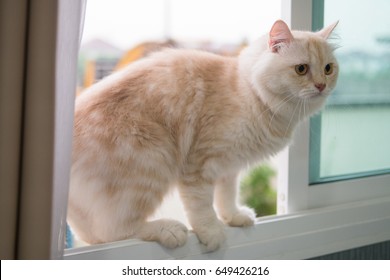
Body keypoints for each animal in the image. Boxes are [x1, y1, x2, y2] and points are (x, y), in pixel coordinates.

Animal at [68, 19, 340, 252]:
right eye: (301, 69)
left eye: (328, 69)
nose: (321, 86)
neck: (250, 94)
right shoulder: (199, 164)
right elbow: (201, 206)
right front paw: (212, 233)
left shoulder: (229, 167)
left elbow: (226, 196)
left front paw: (234, 217)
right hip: (153, 160)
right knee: (116, 230)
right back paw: (169, 229)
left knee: (92, 234)